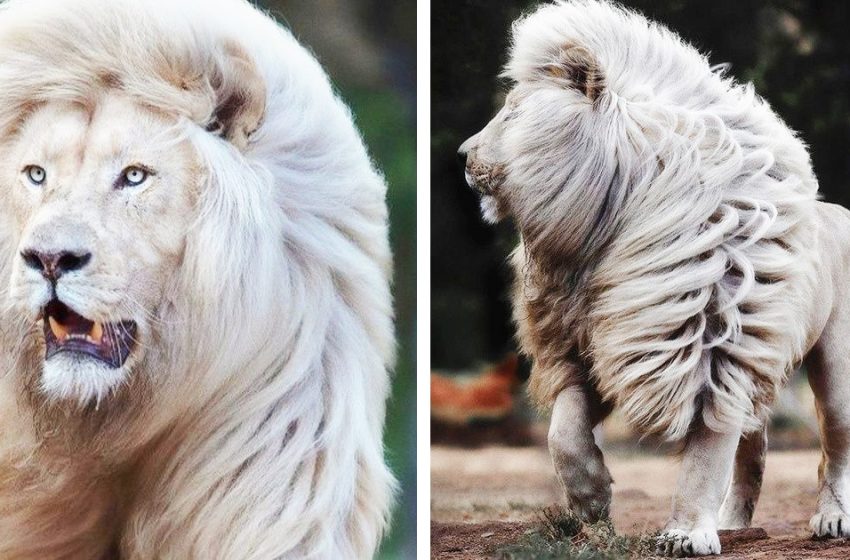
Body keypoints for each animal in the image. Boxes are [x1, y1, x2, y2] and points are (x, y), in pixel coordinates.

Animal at [460, 0, 848, 556]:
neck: (604, 230)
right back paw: (734, 523)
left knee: (833, 445)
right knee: (753, 447)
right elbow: (562, 435)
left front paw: (685, 534)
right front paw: (591, 503)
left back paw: (831, 519)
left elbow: (705, 456)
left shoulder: (711, 349)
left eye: (512, 112)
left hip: (833, 367)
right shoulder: (589, 344)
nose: (462, 155)